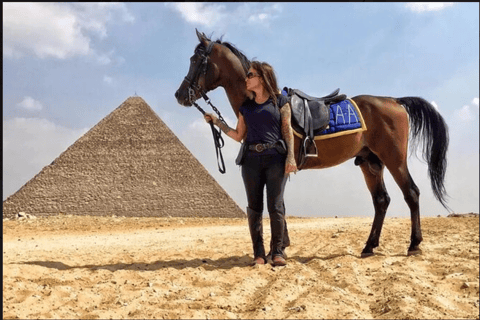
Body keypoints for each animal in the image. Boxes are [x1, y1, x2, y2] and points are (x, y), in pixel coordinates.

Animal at [176, 30, 450, 258]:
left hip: (394, 159)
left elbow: (277, 204)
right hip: (370, 163)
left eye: (195, 60)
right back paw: (369, 246)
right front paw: (281, 245)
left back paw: (414, 244)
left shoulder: (282, 164)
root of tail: (394, 100)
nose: (180, 95)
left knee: (411, 193)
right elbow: (279, 205)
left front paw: (279, 248)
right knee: (381, 200)